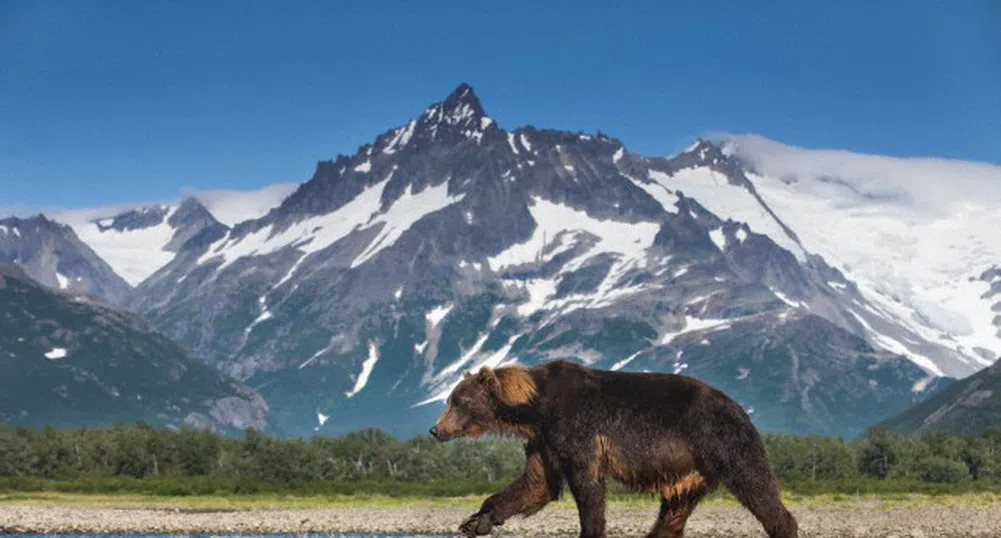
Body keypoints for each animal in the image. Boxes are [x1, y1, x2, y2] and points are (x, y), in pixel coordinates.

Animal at [430, 358, 796, 536]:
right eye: (450, 400)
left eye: (461, 401)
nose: (436, 429)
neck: (535, 406)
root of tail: (740, 407)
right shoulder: (544, 441)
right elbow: (536, 484)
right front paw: (478, 520)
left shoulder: (577, 430)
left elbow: (587, 487)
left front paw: (591, 528)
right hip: (688, 475)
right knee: (672, 515)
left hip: (723, 440)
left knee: (755, 484)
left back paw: (783, 524)